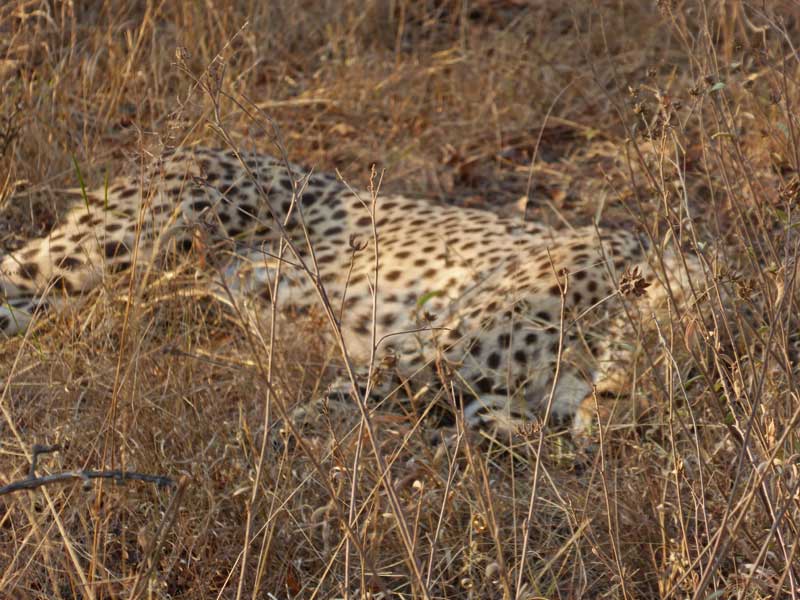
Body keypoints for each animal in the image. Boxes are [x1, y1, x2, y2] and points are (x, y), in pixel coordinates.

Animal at [0, 145, 715, 435]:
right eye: (677, 343)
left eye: (700, 386)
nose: (629, 412)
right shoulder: (418, 350)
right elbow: (331, 414)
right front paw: (271, 459)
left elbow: (486, 421)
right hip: (116, 250)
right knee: (20, 280)